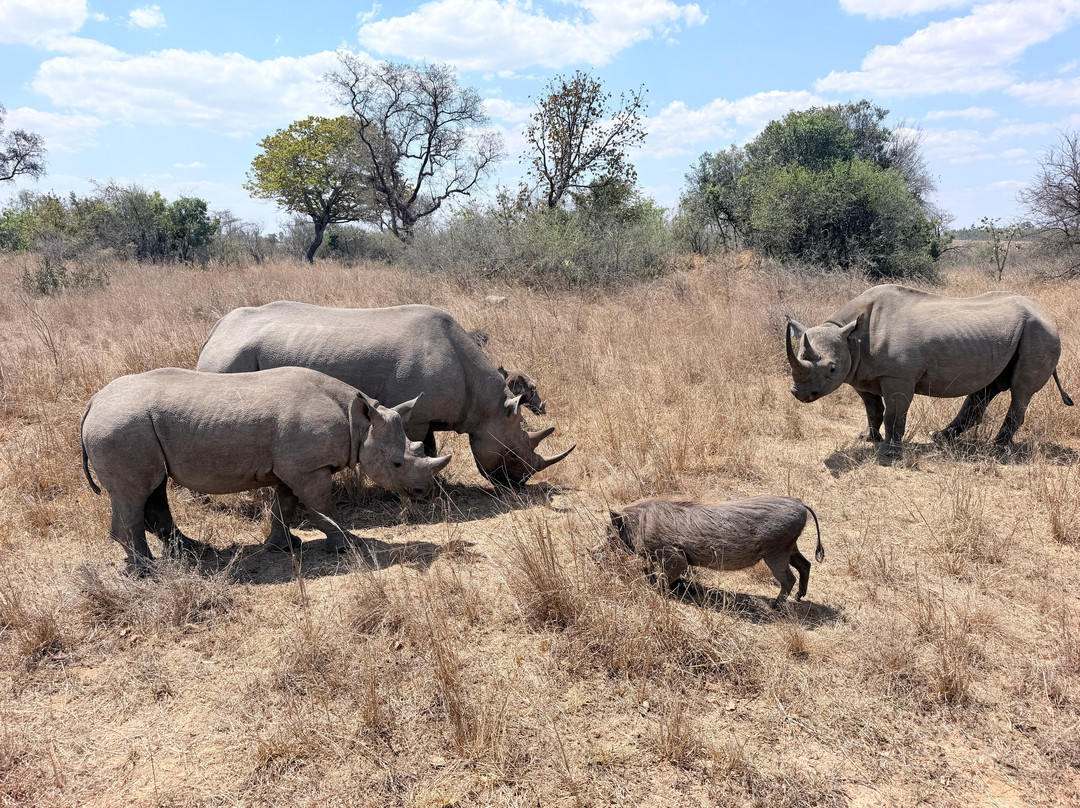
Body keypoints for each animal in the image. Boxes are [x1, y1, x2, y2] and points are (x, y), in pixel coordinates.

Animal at [80, 366, 451, 569]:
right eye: (397, 463)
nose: (422, 492)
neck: (359, 423)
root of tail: (93, 403)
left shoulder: (295, 466)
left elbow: (284, 506)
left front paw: (284, 546)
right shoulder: (309, 469)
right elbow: (322, 507)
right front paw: (346, 545)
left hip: (131, 427)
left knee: (152, 489)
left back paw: (191, 551)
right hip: (120, 426)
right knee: (135, 493)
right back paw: (147, 570)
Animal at [196, 302, 573, 486]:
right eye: (511, 454)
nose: (518, 484)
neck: (485, 403)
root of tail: (215, 331)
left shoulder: (426, 414)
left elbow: (427, 446)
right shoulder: (419, 415)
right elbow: (424, 446)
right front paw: (432, 486)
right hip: (230, 358)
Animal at [603, 496, 824, 605]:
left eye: (609, 532)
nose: (596, 555)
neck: (640, 524)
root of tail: (801, 504)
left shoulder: (674, 557)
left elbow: (665, 578)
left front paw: (656, 591)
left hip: (776, 553)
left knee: (789, 579)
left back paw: (776, 605)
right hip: (790, 548)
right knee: (805, 565)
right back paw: (799, 597)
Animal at [786, 285, 1074, 457]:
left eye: (832, 369)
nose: (800, 394)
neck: (848, 336)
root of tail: (1047, 315)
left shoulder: (898, 376)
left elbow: (894, 412)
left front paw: (890, 451)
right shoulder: (861, 375)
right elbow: (872, 409)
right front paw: (867, 438)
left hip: (1040, 333)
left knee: (1020, 391)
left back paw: (998, 448)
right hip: (1013, 336)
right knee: (988, 387)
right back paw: (940, 437)